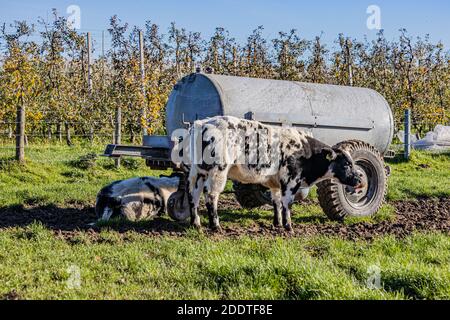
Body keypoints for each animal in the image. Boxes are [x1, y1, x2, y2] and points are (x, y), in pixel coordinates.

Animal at [185, 116, 364, 231]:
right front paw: (288, 226)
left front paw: (277, 223)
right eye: (347, 164)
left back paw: (196, 223)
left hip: (198, 173)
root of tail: (204, 122)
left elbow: (277, 202)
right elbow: (287, 203)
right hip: (218, 172)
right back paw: (215, 226)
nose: (359, 180)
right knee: (211, 196)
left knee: (193, 195)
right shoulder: (291, 180)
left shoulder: (275, 183)